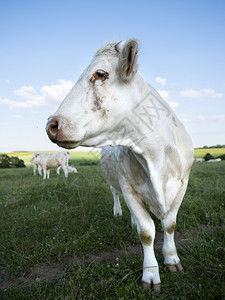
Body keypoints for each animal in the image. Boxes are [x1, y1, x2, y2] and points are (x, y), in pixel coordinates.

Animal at [45, 39, 193, 290]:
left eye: (100, 73)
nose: (51, 124)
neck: (155, 156)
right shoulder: (128, 187)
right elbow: (146, 232)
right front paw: (150, 273)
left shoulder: (182, 183)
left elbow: (170, 224)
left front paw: (172, 258)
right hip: (114, 181)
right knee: (117, 196)